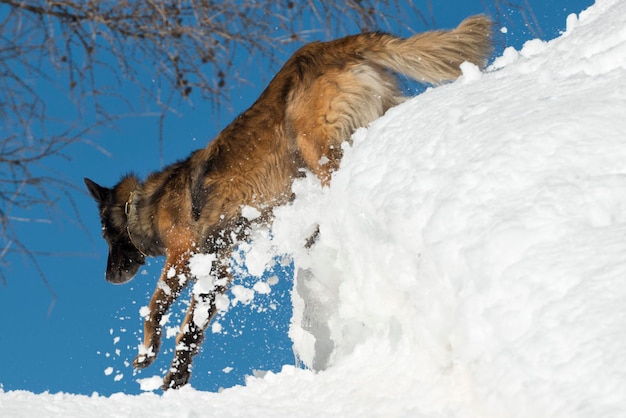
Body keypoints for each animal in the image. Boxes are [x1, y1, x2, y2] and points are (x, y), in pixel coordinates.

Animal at [84, 15, 492, 388]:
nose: (107, 278)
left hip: (314, 145)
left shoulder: (182, 258)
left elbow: (155, 307)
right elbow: (192, 329)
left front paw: (146, 353)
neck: (146, 203)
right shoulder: (216, 268)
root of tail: (326, 48)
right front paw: (175, 378)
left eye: (105, 235)